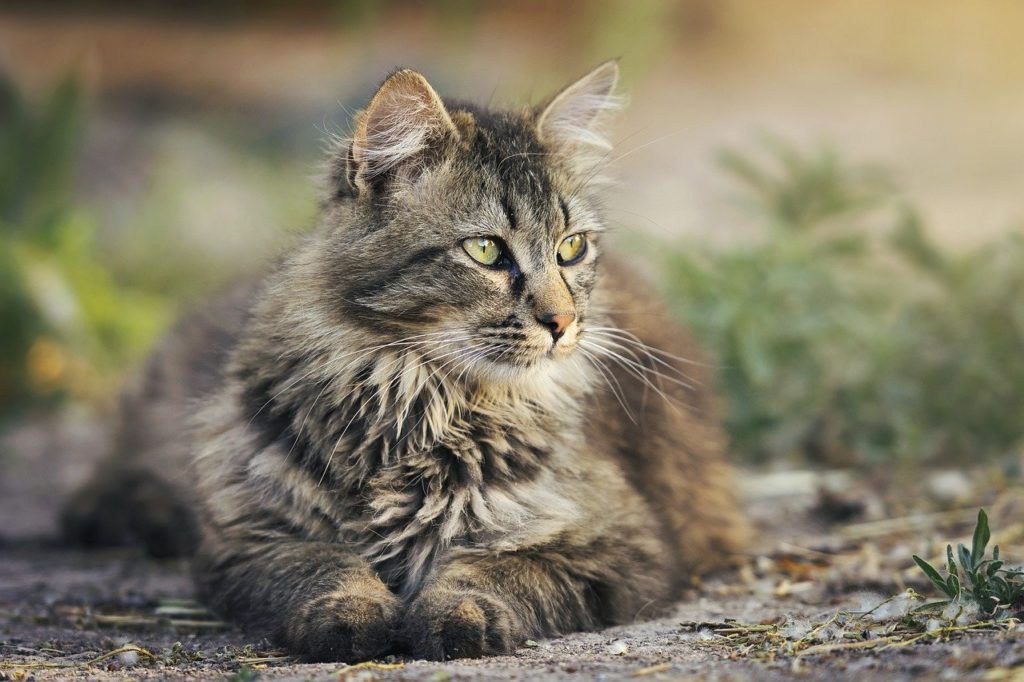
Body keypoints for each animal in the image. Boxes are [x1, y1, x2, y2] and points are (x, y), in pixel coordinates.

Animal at [66, 62, 753, 659]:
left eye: (571, 248)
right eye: (485, 250)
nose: (563, 325)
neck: (415, 400)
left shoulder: (624, 545)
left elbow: (493, 569)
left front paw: (457, 617)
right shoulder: (250, 537)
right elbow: (323, 565)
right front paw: (352, 615)